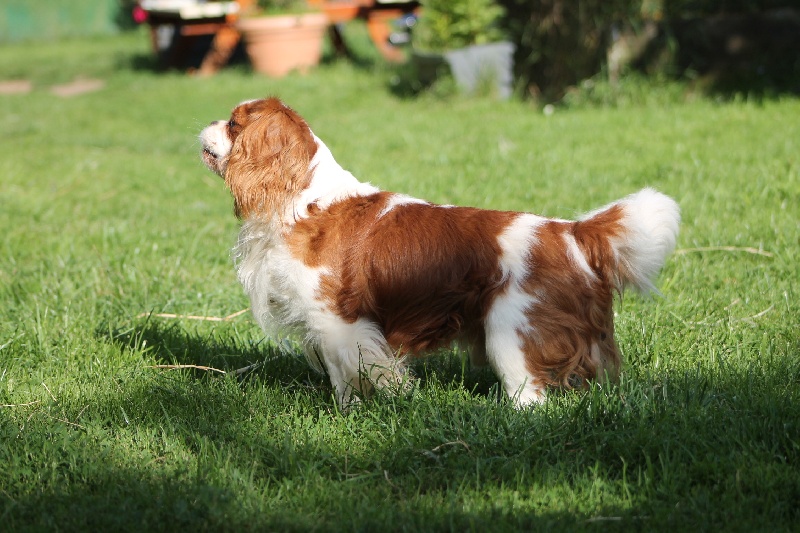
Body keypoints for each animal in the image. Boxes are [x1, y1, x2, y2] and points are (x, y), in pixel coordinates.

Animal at [197, 97, 680, 408]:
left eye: (234, 124)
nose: (204, 124)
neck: (301, 201)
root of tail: (570, 232)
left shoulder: (338, 320)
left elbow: (352, 373)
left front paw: (352, 414)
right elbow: (341, 373)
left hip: (511, 332)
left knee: (531, 396)